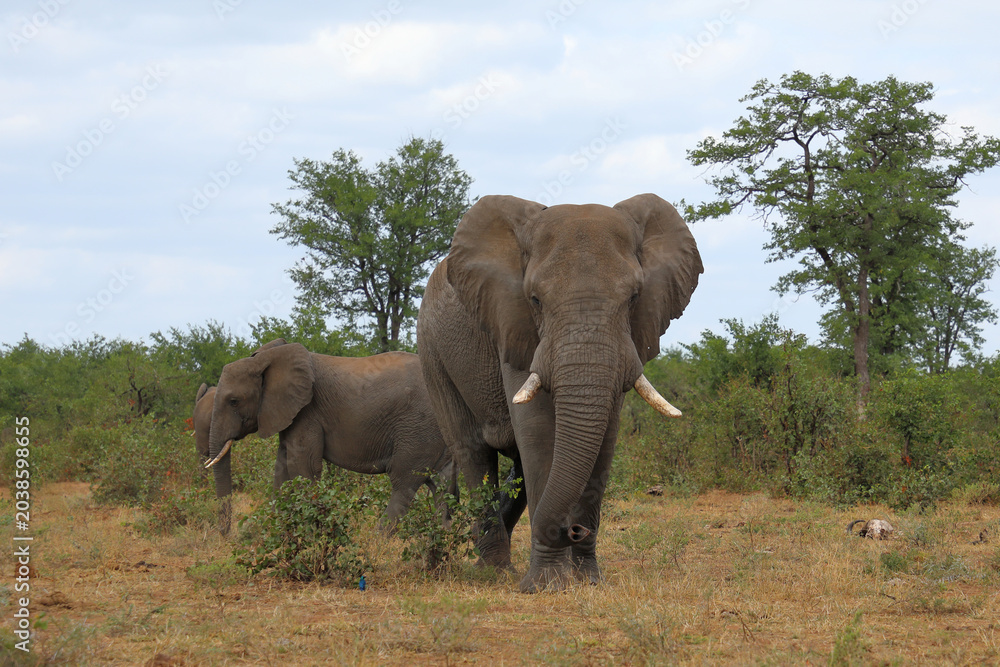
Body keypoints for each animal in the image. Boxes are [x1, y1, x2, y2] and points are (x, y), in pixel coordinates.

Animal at [205, 338, 454, 534]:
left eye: (233, 401)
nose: (225, 534)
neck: (266, 359)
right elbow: (281, 470)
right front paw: (276, 534)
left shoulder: (308, 412)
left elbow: (303, 468)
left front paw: (306, 535)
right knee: (442, 486)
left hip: (419, 429)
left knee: (404, 481)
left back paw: (376, 541)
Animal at [417, 193, 702, 592]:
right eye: (535, 299)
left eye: (634, 297)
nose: (575, 530)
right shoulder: (514, 324)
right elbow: (538, 434)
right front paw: (546, 586)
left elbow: (604, 438)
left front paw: (588, 581)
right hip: (432, 351)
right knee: (472, 451)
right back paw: (494, 570)